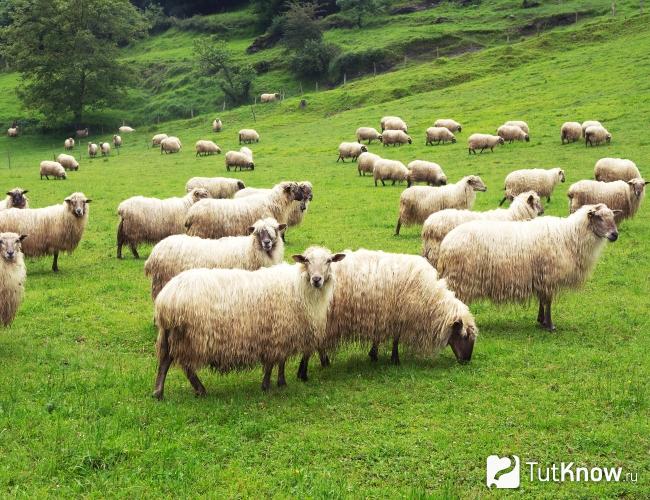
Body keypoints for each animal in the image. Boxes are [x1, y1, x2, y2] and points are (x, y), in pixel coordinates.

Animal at [144, 217, 286, 300]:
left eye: (275, 230)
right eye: (258, 232)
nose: (267, 242)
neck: (250, 249)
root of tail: (155, 251)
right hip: (162, 281)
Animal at [152, 246, 345, 399]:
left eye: (329, 261)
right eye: (306, 261)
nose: (317, 279)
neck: (298, 286)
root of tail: (166, 298)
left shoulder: (281, 333)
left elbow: (280, 361)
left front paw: (281, 382)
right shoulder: (278, 332)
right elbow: (273, 362)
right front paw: (268, 385)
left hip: (171, 334)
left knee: (165, 361)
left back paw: (158, 393)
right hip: (191, 337)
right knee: (186, 366)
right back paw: (200, 390)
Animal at [296, 249, 478, 381]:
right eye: (464, 336)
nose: (466, 361)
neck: (429, 297)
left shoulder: (384, 315)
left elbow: (381, 338)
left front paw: (374, 354)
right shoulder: (398, 315)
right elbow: (396, 339)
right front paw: (395, 359)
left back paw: (324, 362)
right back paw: (303, 373)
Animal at [437, 203, 619, 330]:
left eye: (613, 217)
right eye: (599, 217)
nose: (615, 235)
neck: (569, 236)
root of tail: (446, 243)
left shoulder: (541, 277)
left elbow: (542, 300)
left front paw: (541, 321)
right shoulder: (549, 276)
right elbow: (548, 301)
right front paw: (550, 325)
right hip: (460, 278)